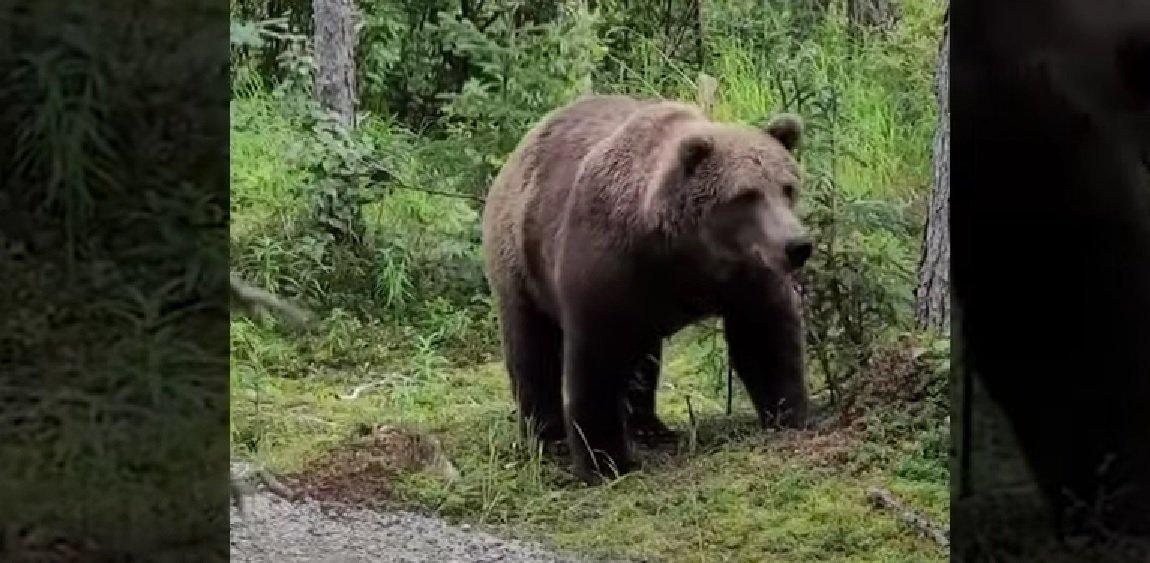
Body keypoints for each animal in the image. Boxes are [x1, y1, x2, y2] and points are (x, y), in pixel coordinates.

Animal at [480, 93, 814, 484]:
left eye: (787, 187)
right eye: (746, 195)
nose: (797, 245)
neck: (684, 253)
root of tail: (517, 153)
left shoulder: (746, 277)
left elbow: (766, 340)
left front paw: (788, 413)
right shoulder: (605, 269)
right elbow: (596, 365)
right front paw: (604, 461)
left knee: (643, 360)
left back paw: (650, 426)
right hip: (521, 264)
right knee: (532, 350)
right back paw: (548, 436)